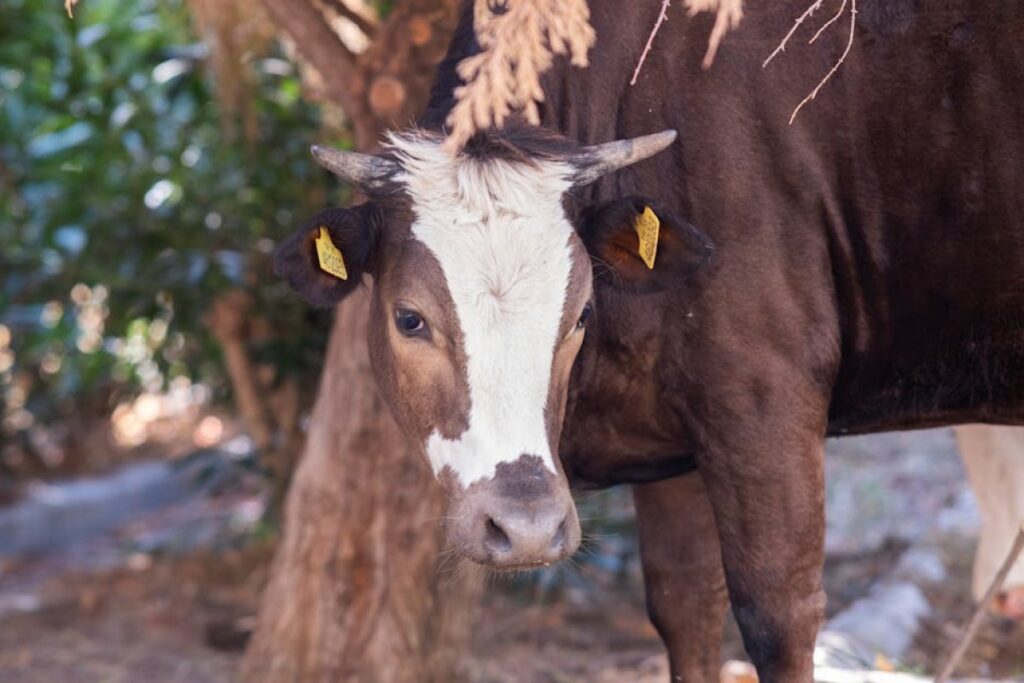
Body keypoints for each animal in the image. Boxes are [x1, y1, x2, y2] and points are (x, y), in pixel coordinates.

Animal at [275, 1, 1024, 680]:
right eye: (410, 319)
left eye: (581, 313)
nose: (525, 528)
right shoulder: (672, 441)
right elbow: (685, 607)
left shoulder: (765, 401)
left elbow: (777, 613)